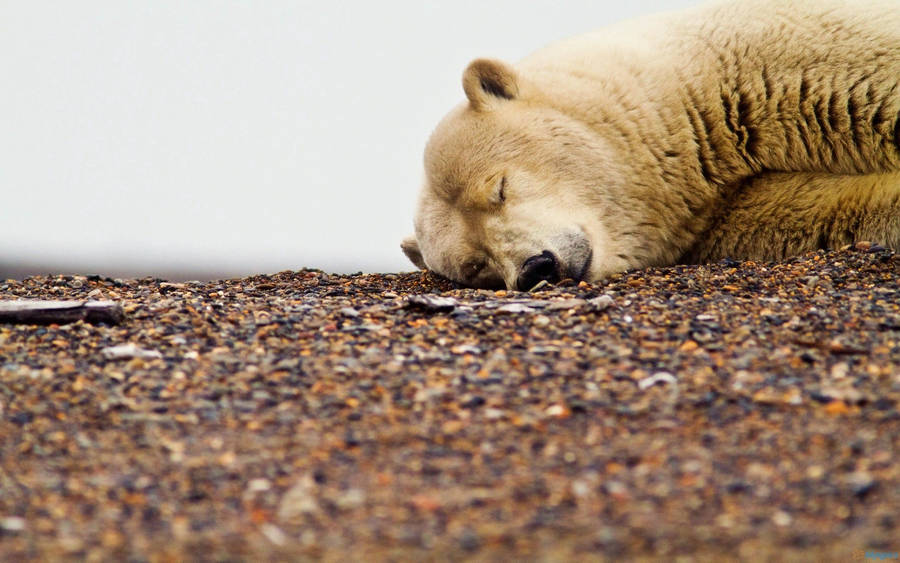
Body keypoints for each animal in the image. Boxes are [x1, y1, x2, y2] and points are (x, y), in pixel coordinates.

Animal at [401, 0, 900, 290]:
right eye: (475, 266)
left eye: (500, 188)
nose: (535, 268)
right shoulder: (722, 213)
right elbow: (825, 209)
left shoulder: (795, 52)